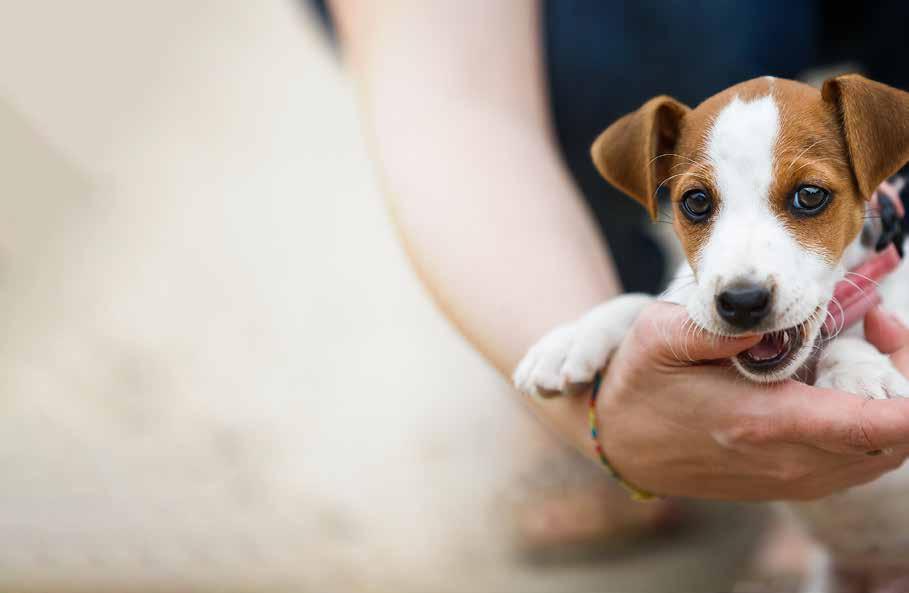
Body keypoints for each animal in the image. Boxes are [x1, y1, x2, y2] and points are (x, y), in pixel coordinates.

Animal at [510, 77, 908, 588]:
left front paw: (859, 373)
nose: (742, 301)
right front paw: (573, 338)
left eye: (810, 195)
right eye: (696, 202)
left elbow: (854, 337)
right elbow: (641, 303)